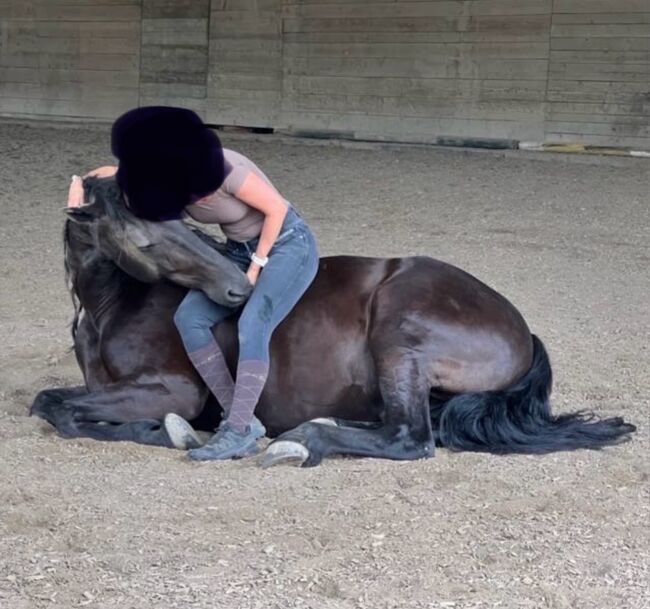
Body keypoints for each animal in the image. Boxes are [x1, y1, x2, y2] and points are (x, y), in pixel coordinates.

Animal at [30, 176, 632, 466]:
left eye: (181, 219)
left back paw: (302, 441)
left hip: (400, 338)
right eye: (143, 235)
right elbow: (53, 403)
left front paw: (162, 431)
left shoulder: (174, 388)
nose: (237, 286)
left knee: (411, 437)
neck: (116, 303)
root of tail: (522, 329)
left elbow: (56, 407)